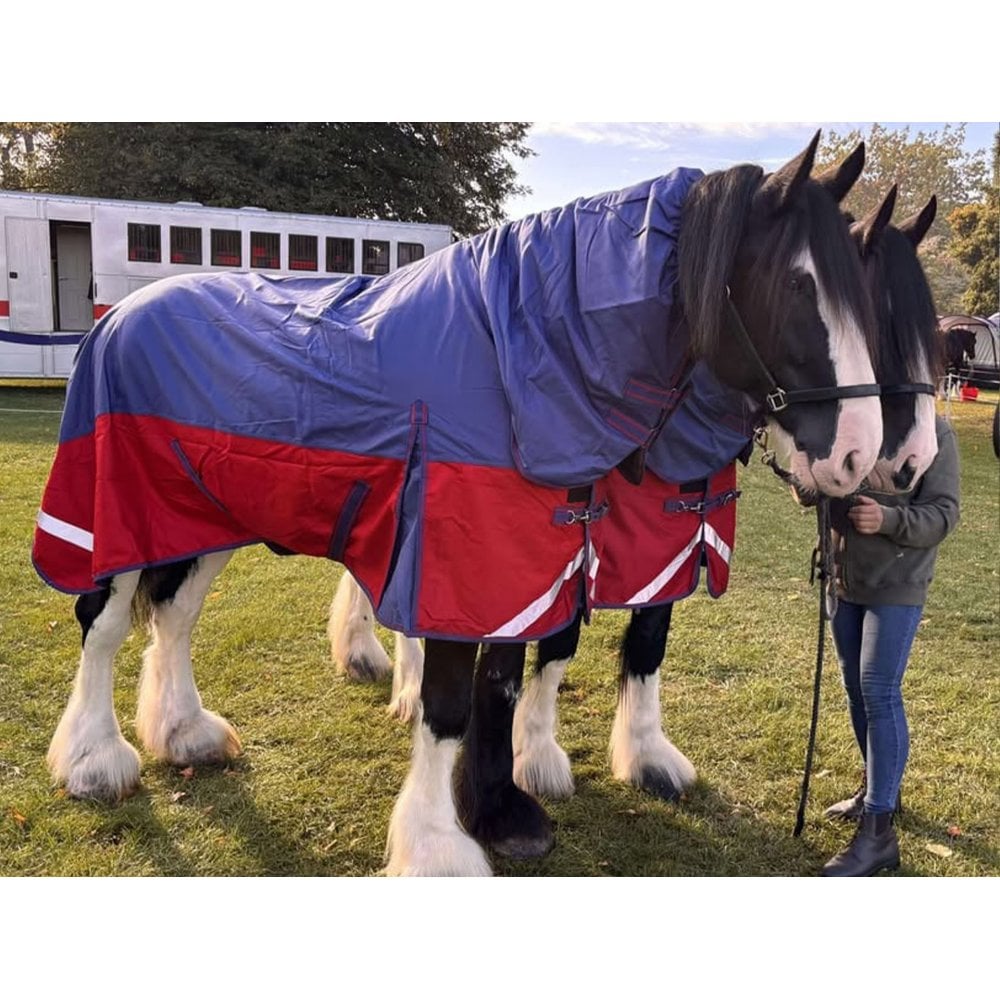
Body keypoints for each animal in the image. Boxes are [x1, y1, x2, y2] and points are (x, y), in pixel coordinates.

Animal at [34, 132, 884, 876]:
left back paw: (184, 734)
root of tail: (123, 315)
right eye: (797, 285)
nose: (858, 454)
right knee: (102, 627)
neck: (517, 359)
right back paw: (95, 761)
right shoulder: (450, 563)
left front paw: (503, 809)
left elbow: (502, 684)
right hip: (116, 519)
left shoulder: (520, 564)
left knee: (174, 617)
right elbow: (447, 704)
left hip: (205, 520)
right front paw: (439, 846)